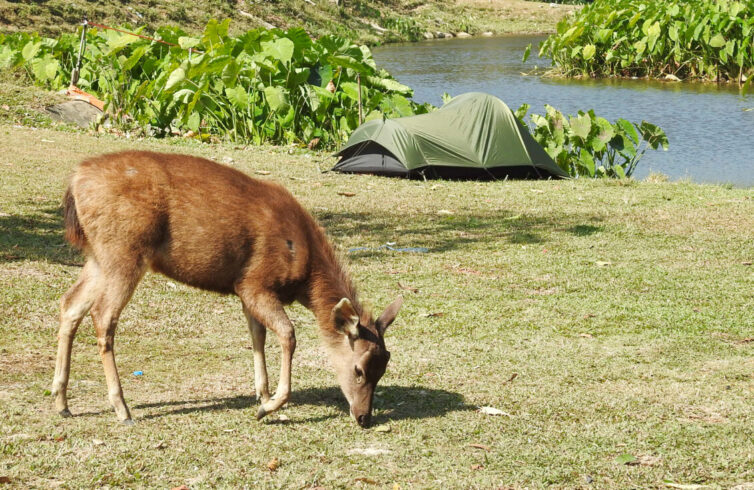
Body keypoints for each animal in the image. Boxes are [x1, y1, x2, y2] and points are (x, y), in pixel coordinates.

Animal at [53, 151, 402, 426]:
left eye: (384, 368)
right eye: (359, 370)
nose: (364, 417)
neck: (304, 272)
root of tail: (75, 180)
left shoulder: (245, 291)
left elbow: (257, 337)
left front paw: (262, 395)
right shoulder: (255, 282)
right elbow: (287, 334)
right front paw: (269, 406)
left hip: (98, 256)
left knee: (70, 303)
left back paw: (62, 402)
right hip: (124, 249)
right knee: (103, 316)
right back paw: (122, 409)